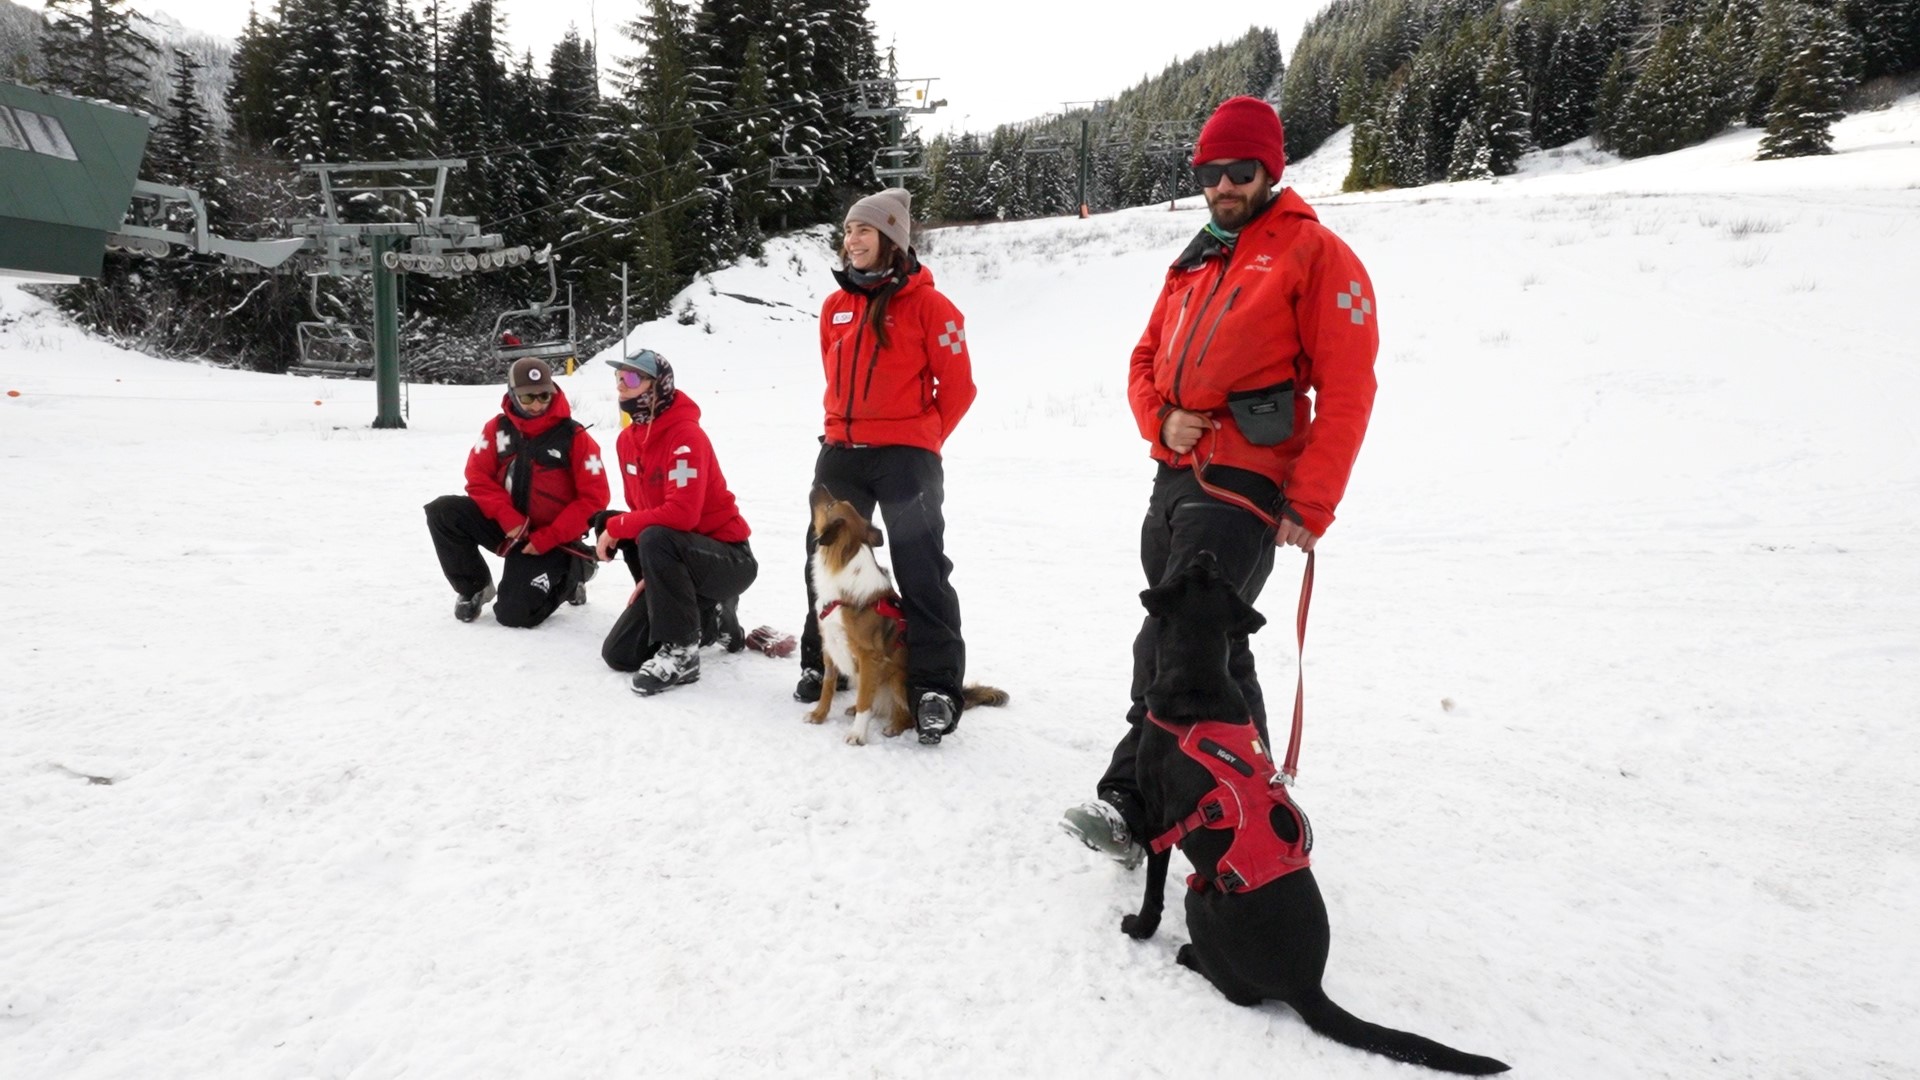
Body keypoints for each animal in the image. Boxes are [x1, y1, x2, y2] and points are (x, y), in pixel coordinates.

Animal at [806, 486, 1013, 745]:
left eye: (831, 505)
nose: (818, 486)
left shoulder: (869, 657)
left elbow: (864, 700)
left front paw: (857, 734)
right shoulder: (830, 645)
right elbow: (828, 686)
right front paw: (819, 715)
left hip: (897, 677)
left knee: (905, 715)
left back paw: (894, 727)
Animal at [1121, 549, 1505, 1068]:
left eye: (1193, 573)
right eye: (1214, 577)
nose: (1207, 552)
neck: (1200, 678)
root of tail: (1308, 988)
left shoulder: (1160, 818)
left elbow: (1153, 891)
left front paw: (1138, 928)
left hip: (1199, 899)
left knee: (1241, 994)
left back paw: (1189, 958)